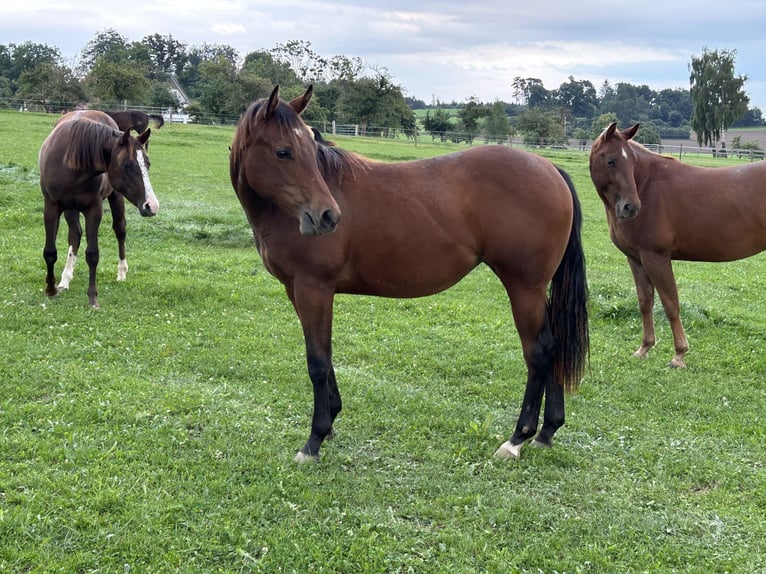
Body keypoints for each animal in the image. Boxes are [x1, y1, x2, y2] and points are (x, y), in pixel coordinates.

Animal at [39, 110, 160, 308]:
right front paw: (51, 289)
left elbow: (93, 254)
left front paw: (93, 298)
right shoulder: (51, 207)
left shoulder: (93, 211)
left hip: (116, 196)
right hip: (70, 209)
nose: (152, 205)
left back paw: (121, 271)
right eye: (127, 165)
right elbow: (50, 251)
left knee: (120, 230)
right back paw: (65, 279)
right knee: (75, 234)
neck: (71, 163)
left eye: (147, 164)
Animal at [229, 85, 589, 462]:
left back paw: (518, 437)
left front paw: (314, 440)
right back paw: (547, 431)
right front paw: (330, 423)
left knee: (539, 352)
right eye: (284, 152)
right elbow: (326, 359)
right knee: (555, 344)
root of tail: (550, 168)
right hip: (536, 291)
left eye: (310, 151)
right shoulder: (296, 291)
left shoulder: (313, 289)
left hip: (524, 289)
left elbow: (317, 362)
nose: (327, 216)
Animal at [589, 122, 766, 367]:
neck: (646, 184)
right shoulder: (636, 259)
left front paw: (679, 355)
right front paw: (644, 348)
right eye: (611, 161)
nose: (631, 207)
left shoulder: (656, 257)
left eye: (632, 161)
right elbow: (645, 302)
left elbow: (670, 304)